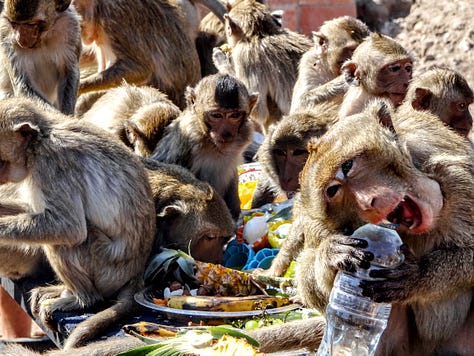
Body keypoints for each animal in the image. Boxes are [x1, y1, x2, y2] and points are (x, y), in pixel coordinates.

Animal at [0, 96, 156, 350]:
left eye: (0, 160)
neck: (39, 142)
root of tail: (136, 275)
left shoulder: (52, 163)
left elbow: (69, 227)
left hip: (106, 268)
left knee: (66, 242)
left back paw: (82, 300)